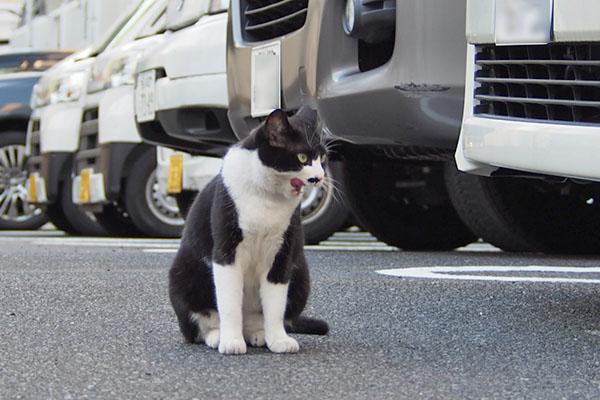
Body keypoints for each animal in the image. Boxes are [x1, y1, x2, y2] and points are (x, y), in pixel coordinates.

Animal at [168, 106, 328, 354]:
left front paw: (278, 340)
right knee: (200, 325)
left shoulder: (281, 254)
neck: (267, 198)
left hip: (301, 273)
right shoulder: (227, 251)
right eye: (302, 157)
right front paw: (231, 342)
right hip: (183, 275)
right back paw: (217, 336)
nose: (319, 177)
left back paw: (259, 335)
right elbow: (229, 303)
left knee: (257, 317)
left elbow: (275, 304)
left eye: (323, 158)